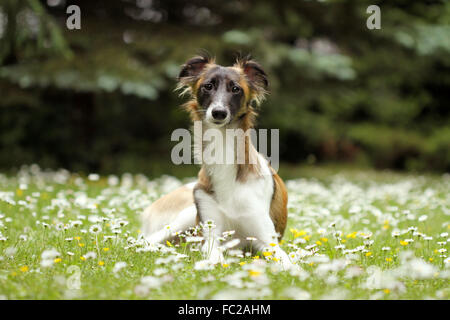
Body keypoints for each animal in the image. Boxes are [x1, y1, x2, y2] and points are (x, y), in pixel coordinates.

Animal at [142, 55, 294, 270]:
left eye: (236, 88)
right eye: (208, 86)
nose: (219, 112)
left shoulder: (267, 240)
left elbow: (288, 263)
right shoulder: (210, 234)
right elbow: (215, 256)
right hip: (185, 214)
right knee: (145, 241)